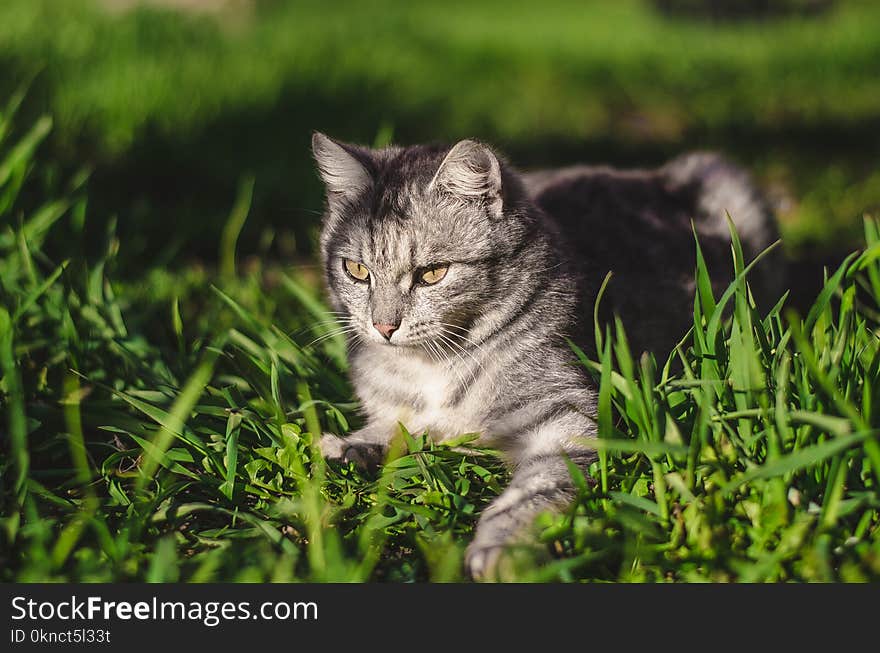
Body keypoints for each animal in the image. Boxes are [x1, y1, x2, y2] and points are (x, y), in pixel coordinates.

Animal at [312, 131, 776, 576]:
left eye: (432, 274)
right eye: (356, 270)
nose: (383, 327)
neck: (432, 365)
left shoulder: (566, 420)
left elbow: (533, 491)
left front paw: (501, 547)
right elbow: (390, 426)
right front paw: (349, 447)